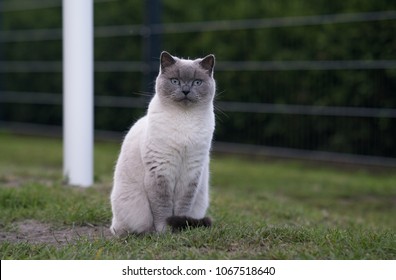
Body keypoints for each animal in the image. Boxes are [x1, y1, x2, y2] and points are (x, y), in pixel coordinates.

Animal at [110, 50, 217, 236]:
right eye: (175, 81)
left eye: (197, 82)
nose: (186, 90)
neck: (184, 119)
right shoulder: (160, 172)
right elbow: (162, 208)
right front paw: (165, 232)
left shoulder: (190, 174)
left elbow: (182, 207)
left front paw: (179, 229)